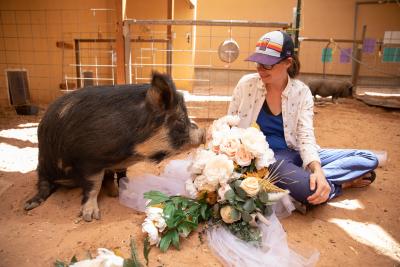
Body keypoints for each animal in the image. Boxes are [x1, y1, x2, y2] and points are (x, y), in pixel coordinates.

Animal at [24, 72, 206, 223]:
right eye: (181, 120)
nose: (203, 133)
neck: (129, 152)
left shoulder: (119, 164)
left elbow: (122, 177)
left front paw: (123, 192)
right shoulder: (88, 159)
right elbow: (93, 185)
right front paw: (90, 217)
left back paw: (113, 192)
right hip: (44, 162)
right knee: (43, 182)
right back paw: (29, 205)